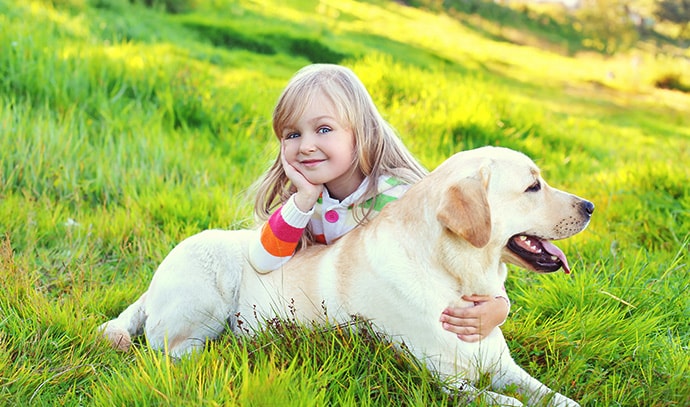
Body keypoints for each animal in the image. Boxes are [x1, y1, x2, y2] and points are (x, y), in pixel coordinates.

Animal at [98, 147, 592, 407]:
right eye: (533, 187)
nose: (590, 206)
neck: (454, 276)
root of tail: (152, 282)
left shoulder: (506, 368)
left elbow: (554, 397)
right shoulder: (442, 379)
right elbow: (506, 402)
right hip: (203, 296)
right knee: (172, 352)